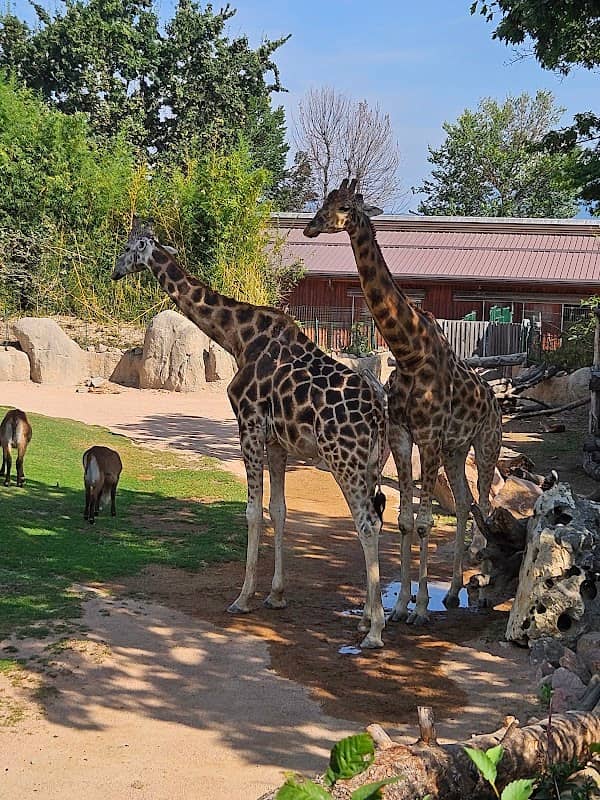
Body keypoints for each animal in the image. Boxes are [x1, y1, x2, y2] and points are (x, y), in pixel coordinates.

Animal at [112, 217, 389, 648]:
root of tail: (377, 411)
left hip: (344, 459)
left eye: (128, 248)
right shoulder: (277, 442)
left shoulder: (248, 424)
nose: (113, 271)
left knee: (366, 523)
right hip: (372, 462)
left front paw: (242, 599)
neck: (237, 337)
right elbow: (279, 509)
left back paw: (374, 631)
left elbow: (252, 512)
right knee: (374, 517)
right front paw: (276, 595)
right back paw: (365, 619)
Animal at [304, 179, 503, 625]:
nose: (311, 226)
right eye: (324, 201)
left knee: (484, 505)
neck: (409, 351)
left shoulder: (428, 436)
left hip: (485, 446)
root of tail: (493, 398)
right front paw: (399, 605)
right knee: (464, 504)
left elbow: (426, 521)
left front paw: (421, 609)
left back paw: (481, 591)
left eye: (345, 206)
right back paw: (455, 593)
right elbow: (405, 520)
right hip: (455, 449)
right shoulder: (401, 434)